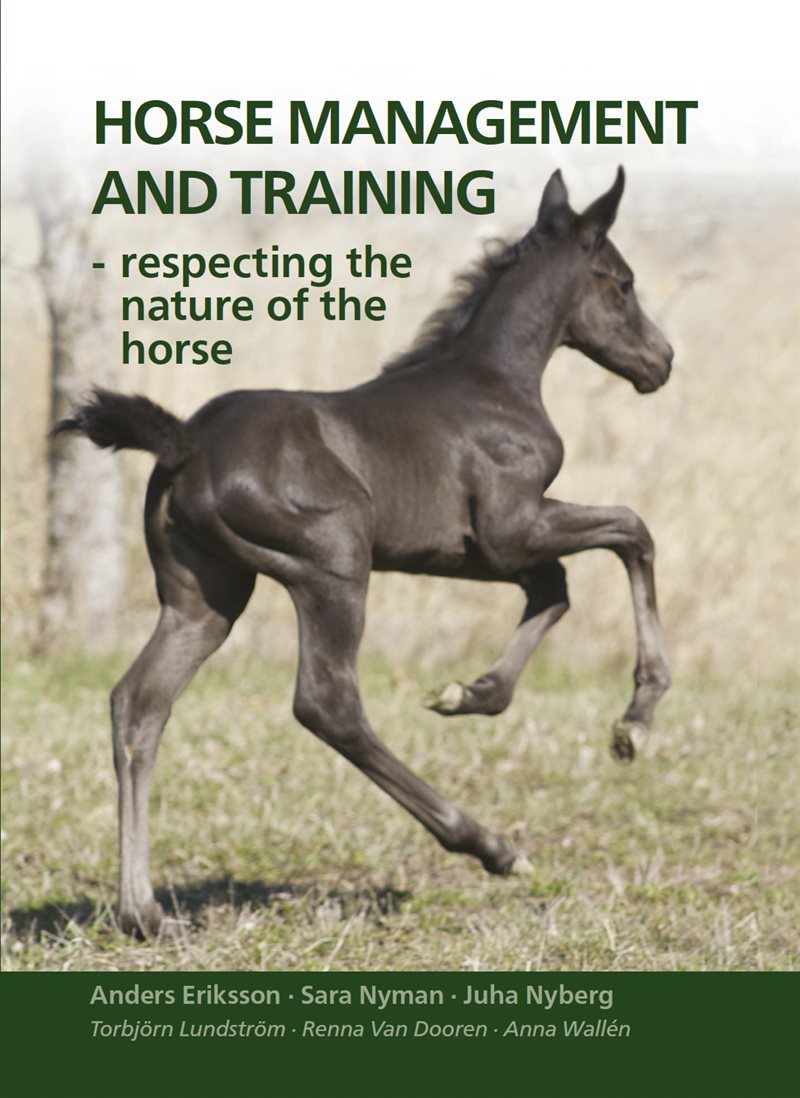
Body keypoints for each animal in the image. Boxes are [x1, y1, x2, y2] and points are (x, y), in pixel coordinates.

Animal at [54, 167, 673, 935]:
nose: (662, 362)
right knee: (327, 704)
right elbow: (631, 531)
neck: (496, 385)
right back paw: (491, 847)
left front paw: (470, 694)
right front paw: (634, 724)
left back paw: (142, 912)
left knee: (138, 703)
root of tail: (185, 443)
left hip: (206, 598)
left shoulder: (472, 551)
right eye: (622, 283)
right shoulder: (513, 527)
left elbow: (554, 589)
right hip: (334, 562)